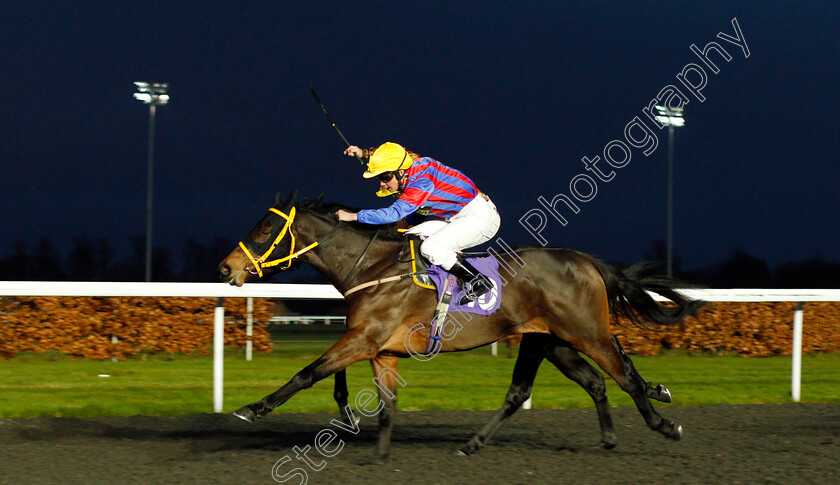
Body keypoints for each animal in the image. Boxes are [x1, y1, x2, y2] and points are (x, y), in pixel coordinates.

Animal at [217, 191, 704, 460]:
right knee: (566, 386)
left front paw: (253, 408)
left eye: (264, 229)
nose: (226, 267)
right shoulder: (380, 347)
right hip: (549, 341)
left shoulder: (365, 337)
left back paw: (663, 422)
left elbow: (307, 373)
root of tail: (588, 262)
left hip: (587, 332)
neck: (372, 267)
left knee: (624, 375)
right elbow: (379, 399)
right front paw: (377, 451)